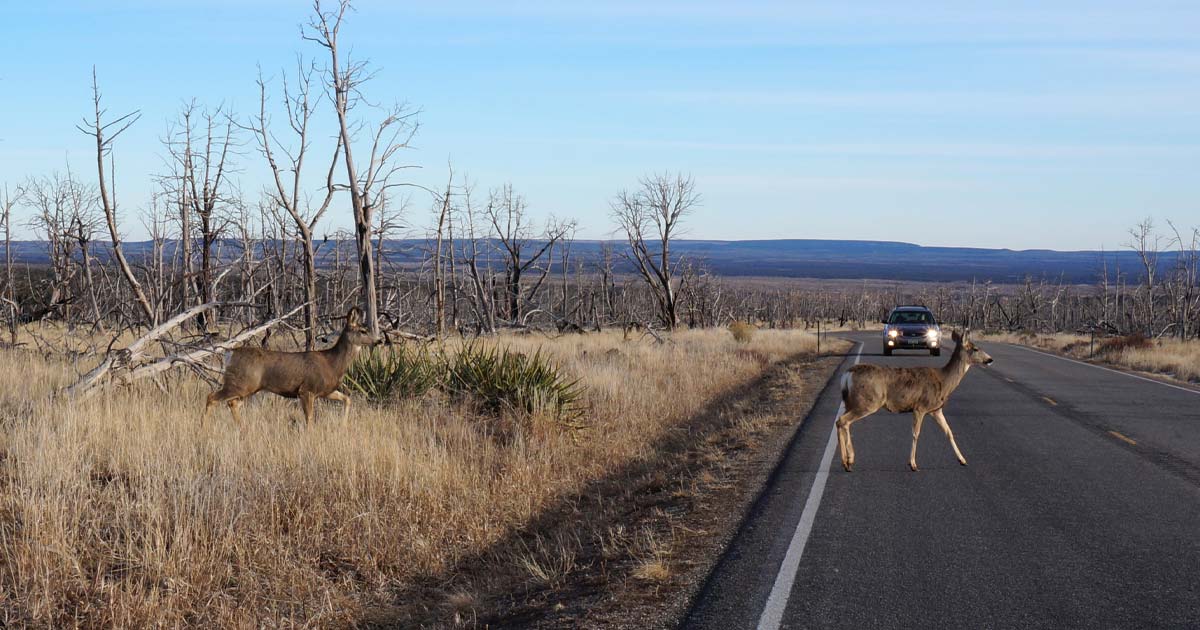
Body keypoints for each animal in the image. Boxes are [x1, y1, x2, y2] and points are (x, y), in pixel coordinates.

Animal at [202, 307, 379, 424]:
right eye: (363, 331)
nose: (379, 340)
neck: (332, 363)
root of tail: (229, 354)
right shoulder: (306, 390)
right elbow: (309, 418)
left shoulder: (325, 391)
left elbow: (347, 399)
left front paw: (343, 426)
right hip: (240, 383)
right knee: (211, 397)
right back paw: (205, 429)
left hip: (249, 387)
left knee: (231, 403)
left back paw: (241, 428)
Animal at [836, 329, 994, 472]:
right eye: (975, 348)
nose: (990, 359)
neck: (944, 381)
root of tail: (847, 375)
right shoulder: (920, 407)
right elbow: (916, 433)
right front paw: (913, 464)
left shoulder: (936, 410)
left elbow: (949, 432)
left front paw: (962, 460)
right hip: (868, 402)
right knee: (843, 421)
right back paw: (846, 462)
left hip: (850, 402)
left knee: (842, 422)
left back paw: (848, 460)